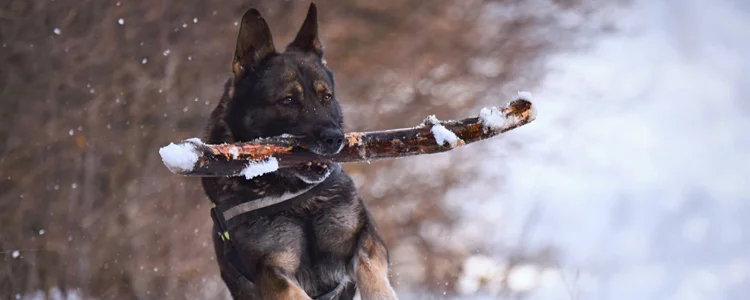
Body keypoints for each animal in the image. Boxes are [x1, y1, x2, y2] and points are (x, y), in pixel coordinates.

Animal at [200, 2, 400, 300]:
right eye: (288, 100)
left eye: (326, 97)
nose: (335, 139)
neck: (297, 197)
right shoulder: (270, 271)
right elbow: (292, 291)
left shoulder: (365, 236)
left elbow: (370, 270)